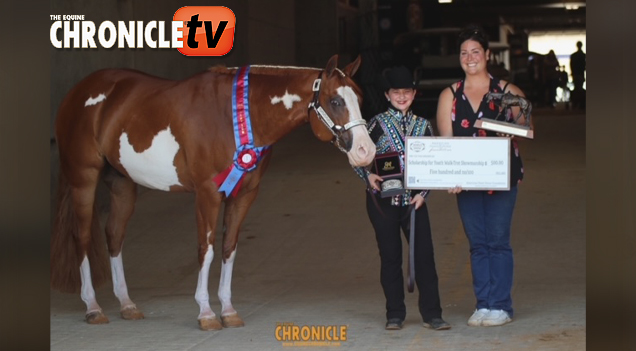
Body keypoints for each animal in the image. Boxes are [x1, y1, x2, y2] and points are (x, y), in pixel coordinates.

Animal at [53, 55, 378, 330]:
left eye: (360, 99)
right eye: (335, 100)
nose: (366, 151)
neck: (236, 118)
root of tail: (79, 91)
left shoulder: (244, 194)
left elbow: (229, 247)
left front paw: (229, 311)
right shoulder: (207, 193)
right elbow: (206, 249)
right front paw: (206, 313)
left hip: (122, 183)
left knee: (114, 236)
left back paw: (127, 304)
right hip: (84, 179)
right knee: (82, 237)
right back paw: (93, 307)